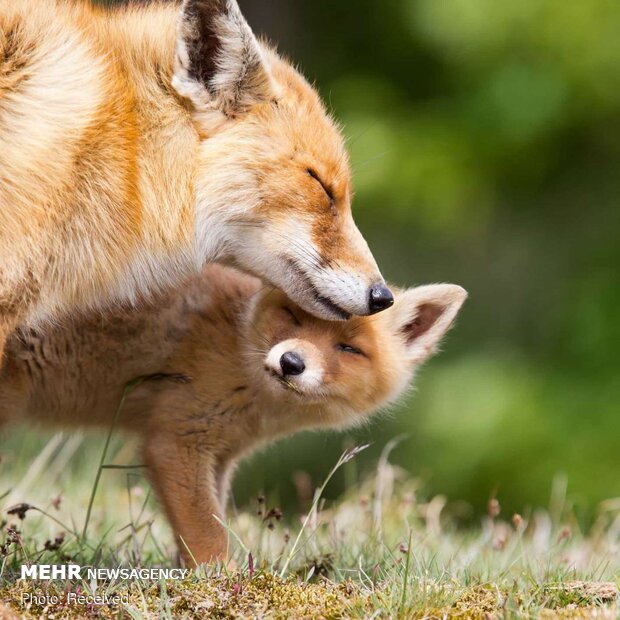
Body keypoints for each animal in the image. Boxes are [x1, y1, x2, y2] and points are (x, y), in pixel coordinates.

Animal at [0, 264, 464, 564]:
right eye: (293, 316)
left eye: (349, 348)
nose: (291, 363)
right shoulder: (176, 443)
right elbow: (207, 535)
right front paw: (221, 584)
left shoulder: (221, 455)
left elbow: (211, 521)